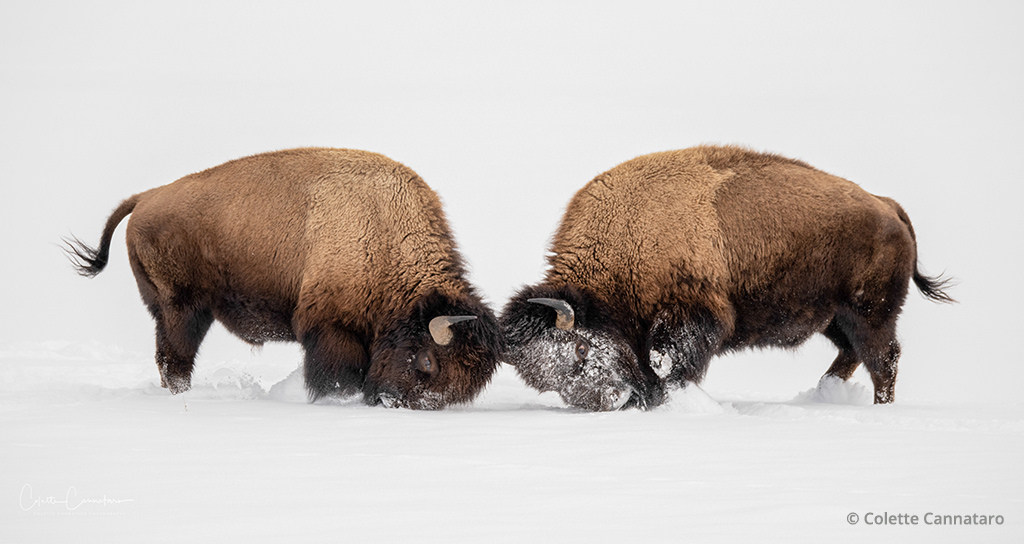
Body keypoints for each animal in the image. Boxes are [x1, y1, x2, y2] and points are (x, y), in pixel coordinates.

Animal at [64, 147, 503, 409]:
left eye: (468, 385)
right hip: (182, 309)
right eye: (428, 361)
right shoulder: (330, 330)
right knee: (175, 358)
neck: (384, 233)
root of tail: (146, 198)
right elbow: (335, 375)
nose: (393, 403)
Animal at [499, 146, 954, 411]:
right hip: (834, 318)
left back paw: (879, 409)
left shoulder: (692, 315)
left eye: (579, 349)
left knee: (883, 359)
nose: (608, 402)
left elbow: (665, 360)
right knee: (852, 355)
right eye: (543, 379)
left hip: (869, 312)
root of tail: (887, 206)